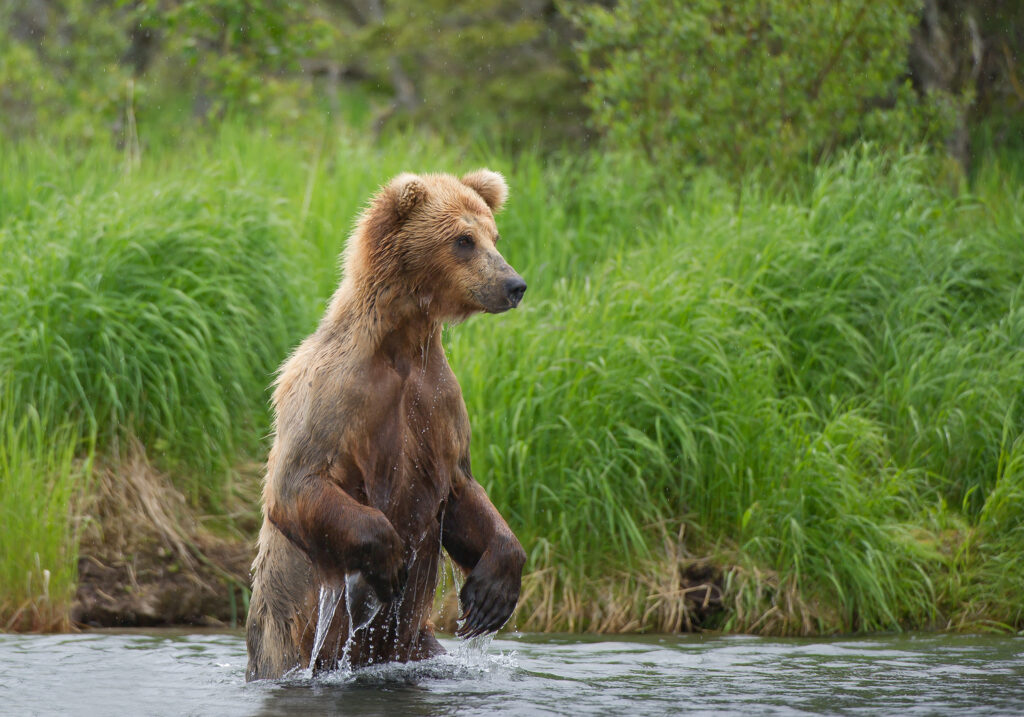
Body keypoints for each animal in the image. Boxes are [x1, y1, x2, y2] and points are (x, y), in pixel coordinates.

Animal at [246, 171, 528, 680]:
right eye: (463, 240)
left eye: (494, 236)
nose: (514, 284)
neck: (401, 343)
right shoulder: (333, 391)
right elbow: (297, 482)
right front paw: (389, 559)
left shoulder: (437, 402)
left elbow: (461, 489)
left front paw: (490, 595)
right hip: (286, 638)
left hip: (415, 644)